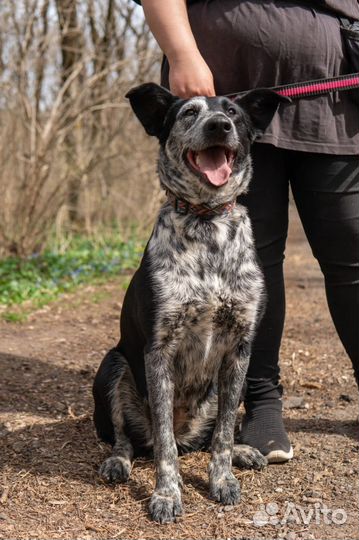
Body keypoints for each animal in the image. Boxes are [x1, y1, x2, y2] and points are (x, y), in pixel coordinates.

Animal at [93, 83, 290, 524]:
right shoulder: (158, 352)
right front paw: (166, 495)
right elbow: (164, 446)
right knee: (127, 439)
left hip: (229, 384)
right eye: (188, 113)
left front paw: (223, 478)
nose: (219, 126)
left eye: (233, 113)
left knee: (211, 435)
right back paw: (118, 462)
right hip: (112, 366)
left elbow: (222, 435)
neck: (207, 221)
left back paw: (244, 452)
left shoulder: (239, 349)